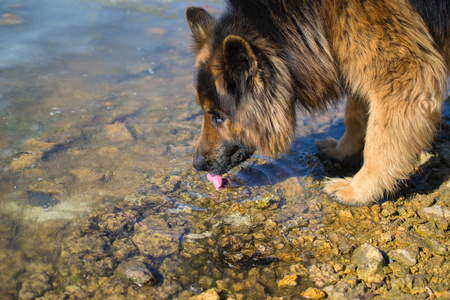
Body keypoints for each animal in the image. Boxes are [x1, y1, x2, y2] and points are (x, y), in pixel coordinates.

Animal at [185, 0, 448, 205]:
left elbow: (380, 142)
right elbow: (354, 114)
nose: (196, 165)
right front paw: (343, 151)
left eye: (218, 117)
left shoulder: (405, 75)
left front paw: (359, 190)